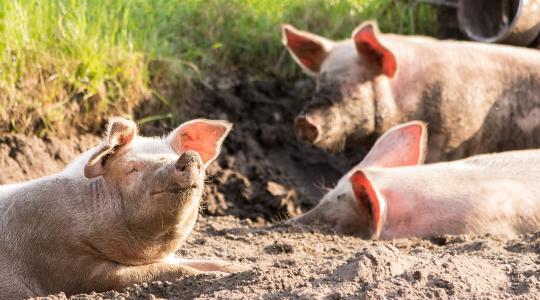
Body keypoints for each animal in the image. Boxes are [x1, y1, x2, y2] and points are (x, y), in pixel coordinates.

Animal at [0, 116, 245, 298]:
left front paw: (242, 270)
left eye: (173, 155)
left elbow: (209, 261)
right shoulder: (68, 264)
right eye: (132, 169)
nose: (190, 156)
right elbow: (167, 270)